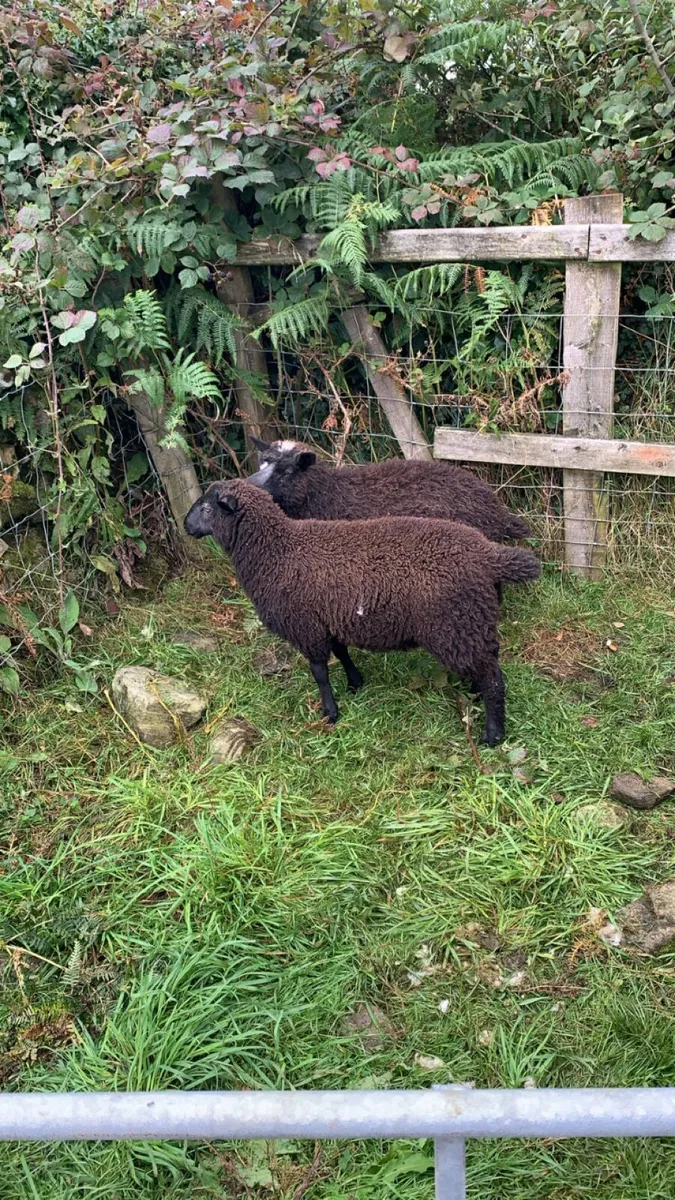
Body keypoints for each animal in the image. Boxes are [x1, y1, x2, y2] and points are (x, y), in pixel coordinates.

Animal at [184, 481, 540, 746]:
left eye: (207, 508)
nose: (186, 525)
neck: (276, 551)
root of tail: (488, 554)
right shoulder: (329, 617)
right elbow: (341, 653)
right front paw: (355, 683)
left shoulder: (306, 626)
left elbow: (319, 672)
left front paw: (330, 713)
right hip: (473, 621)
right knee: (489, 662)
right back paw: (475, 695)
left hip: (454, 624)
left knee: (493, 680)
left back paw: (492, 735)